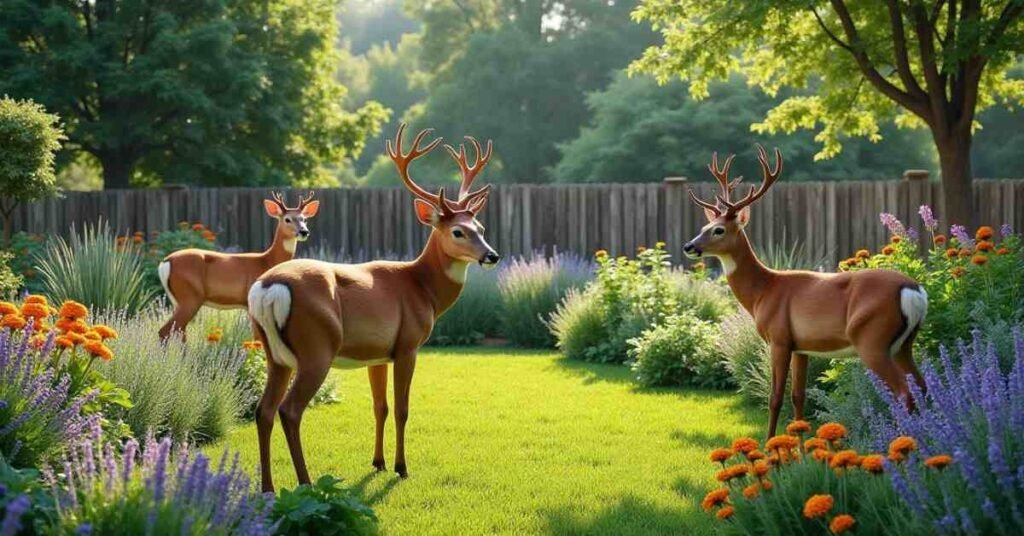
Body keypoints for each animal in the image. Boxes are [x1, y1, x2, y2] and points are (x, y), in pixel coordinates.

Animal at [157, 192, 320, 340]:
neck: (267, 261)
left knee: (179, 331)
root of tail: (165, 262)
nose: (304, 231)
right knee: (166, 330)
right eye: (287, 219)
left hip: (179, 300)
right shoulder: (251, 301)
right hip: (190, 296)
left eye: (304, 219)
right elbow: (257, 337)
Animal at [247, 123, 500, 492]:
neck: (423, 288)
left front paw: (378, 463)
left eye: (480, 228)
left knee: (263, 410)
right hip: (317, 346)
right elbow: (402, 408)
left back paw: (267, 488)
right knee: (289, 410)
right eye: (457, 231)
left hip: (273, 354)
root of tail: (268, 287)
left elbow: (380, 407)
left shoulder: (377, 353)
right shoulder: (408, 345)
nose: (492, 255)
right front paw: (401, 468)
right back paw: (307, 484)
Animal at [683, 147, 928, 437]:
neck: (763, 291)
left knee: (904, 392)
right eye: (703, 228)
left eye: (718, 230)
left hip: (872, 338)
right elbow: (798, 396)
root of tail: (913, 290)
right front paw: (800, 444)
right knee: (922, 387)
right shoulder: (801, 346)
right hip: (905, 343)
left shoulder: (779, 339)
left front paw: (770, 446)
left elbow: (775, 397)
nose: (689, 246)